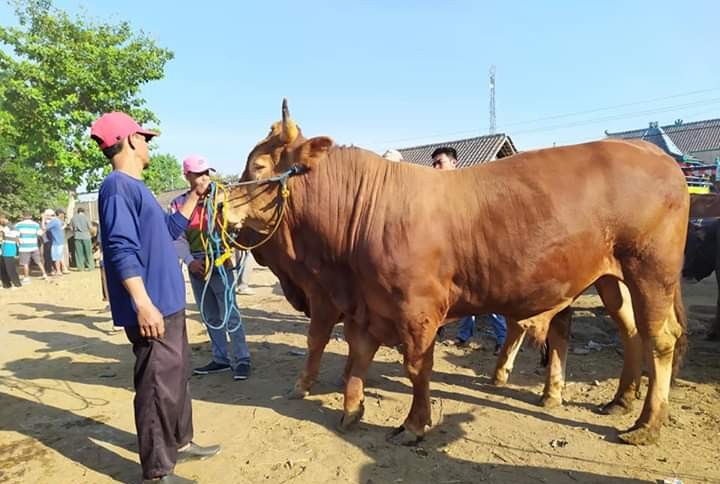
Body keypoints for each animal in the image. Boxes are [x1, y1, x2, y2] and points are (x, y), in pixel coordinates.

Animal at [231, 101, 692, 446]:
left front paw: (414, 425)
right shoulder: (365, 304)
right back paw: (619, 399)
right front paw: (351, 409)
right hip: (611, 278)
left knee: (661, 337)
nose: (221, 203)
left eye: (258, 167)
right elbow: (358, 355)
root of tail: (654, 154)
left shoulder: (416, 311)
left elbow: (416, 368)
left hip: (651, 270)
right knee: (630, 331)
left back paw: (646, 424)